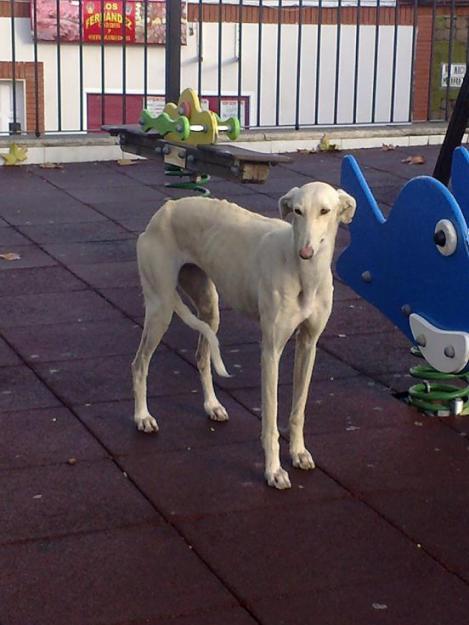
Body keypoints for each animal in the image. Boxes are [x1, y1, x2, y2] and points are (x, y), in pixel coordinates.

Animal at [130, 183, 352, 490]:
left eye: (325, 211)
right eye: (297, 211)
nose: (305, 252)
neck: (302, 274)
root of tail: (166, 209)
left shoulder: (308, 345)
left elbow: (298, 409)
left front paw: (298, 453)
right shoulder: (270, 351)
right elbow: (270, 418)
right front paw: (274, 471)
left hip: (209, 309)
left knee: (201, 357)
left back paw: (212, 406)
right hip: (160, 309)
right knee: (139, 364)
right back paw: (143, 417)